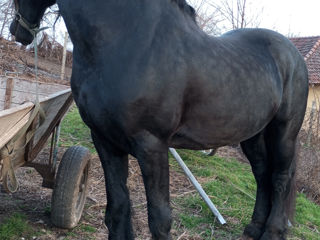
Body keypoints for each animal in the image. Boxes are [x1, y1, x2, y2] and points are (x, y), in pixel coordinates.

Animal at [10, 0, 308, 239]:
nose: (17, 31)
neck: (125, 40)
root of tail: (293, 55)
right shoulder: (104, 140)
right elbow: (118, 207)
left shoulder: (152, 145)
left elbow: (160, 218)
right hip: (253, 135)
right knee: (262, 174)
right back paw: (255, 227)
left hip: (284, 132)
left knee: (280, 177)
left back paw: (273, 231)